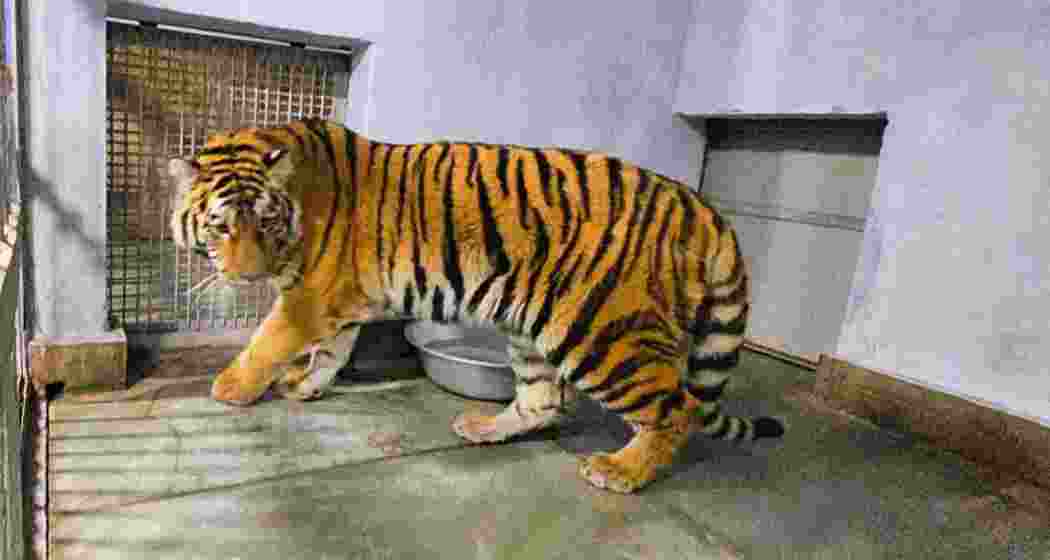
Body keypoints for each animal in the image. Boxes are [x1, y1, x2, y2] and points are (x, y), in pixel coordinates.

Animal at [168, 117, 785, 493]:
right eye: (221, 226)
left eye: (266, 222)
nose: (249, 273)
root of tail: (699, 205)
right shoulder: (335, 299)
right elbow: (331, 352)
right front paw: (304, 386)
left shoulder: (309, 296)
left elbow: (267, 341)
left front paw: (230, 388)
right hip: (534, 330)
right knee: (542, 401)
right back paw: (483, 428)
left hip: (603, 333)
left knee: (676, 408)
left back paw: (621, 471)